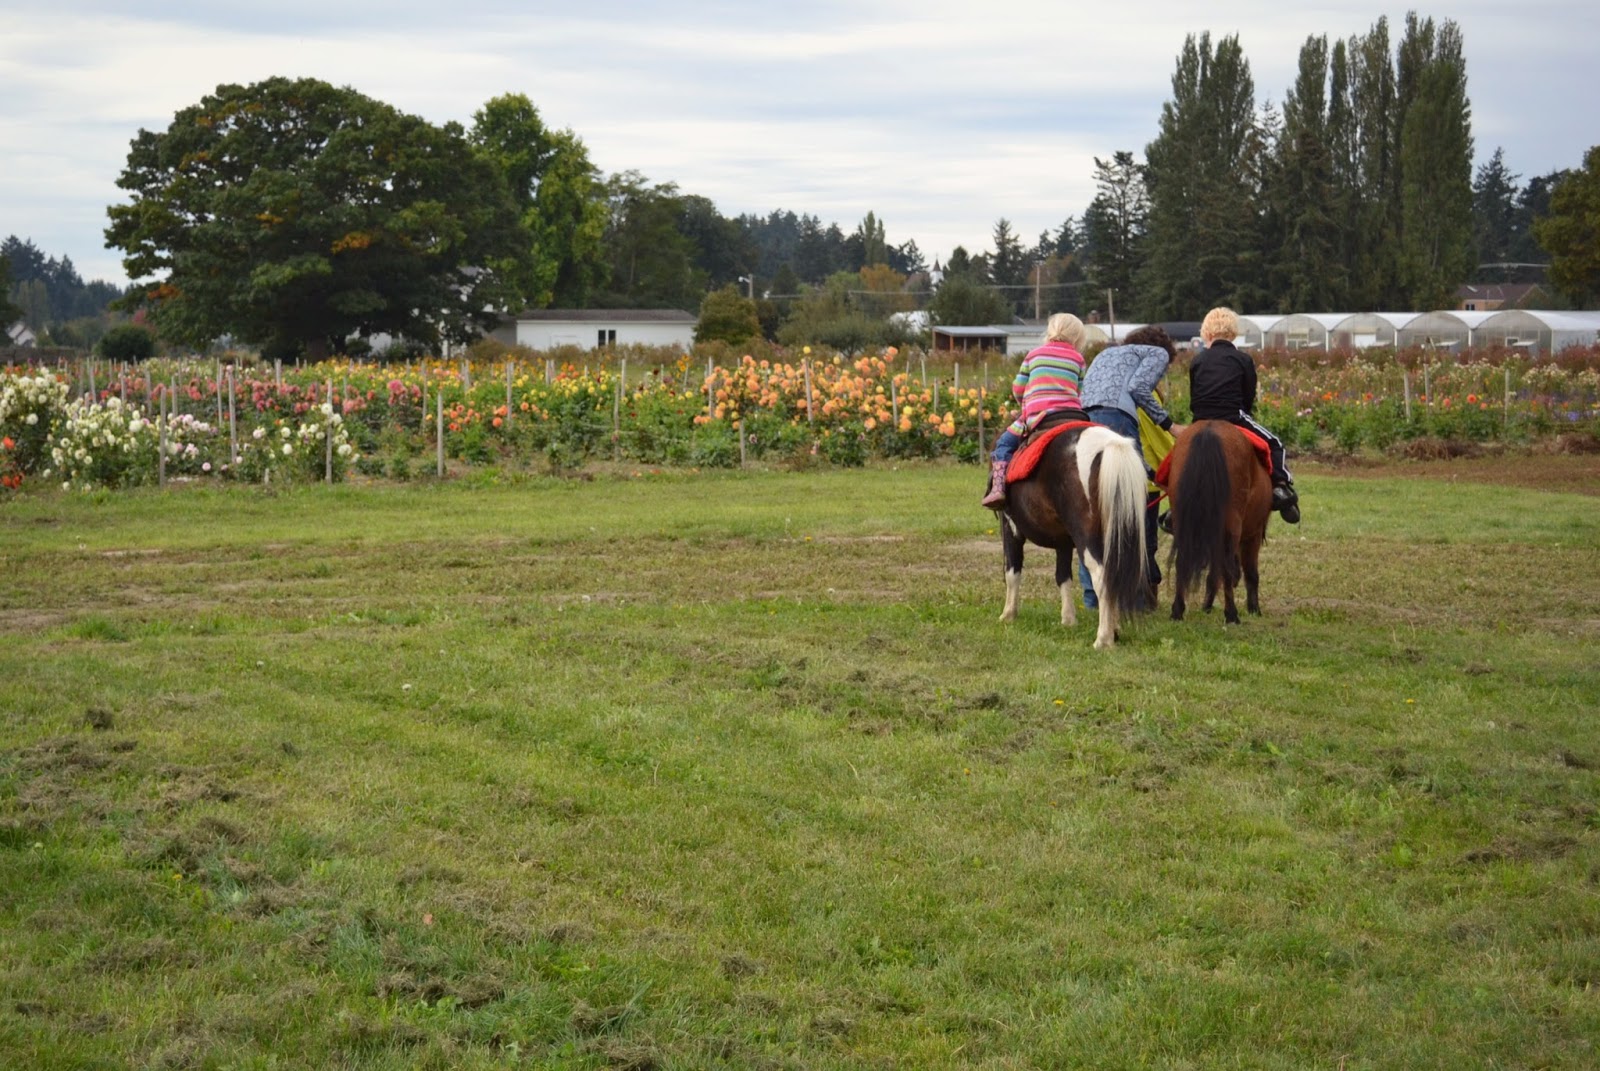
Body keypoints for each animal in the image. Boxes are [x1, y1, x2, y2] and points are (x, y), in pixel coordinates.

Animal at [997, 418, 1150, 649]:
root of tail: (1109, 445)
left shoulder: (1011, 526)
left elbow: (1012, 571)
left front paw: (1008, 614)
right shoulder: (1063, 541)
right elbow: (1063, 576)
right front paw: (1068, 619)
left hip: (1086, 537)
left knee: (1101, 577)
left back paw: (1103, 639)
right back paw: (1113, 630)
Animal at [1164, 420, 1273, 624]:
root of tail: (1209, 431)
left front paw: (1206, 605)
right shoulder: (1253, 534)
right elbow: (1250, 573)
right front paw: (1254, 609)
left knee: (1182, 562)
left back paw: (1177, 611)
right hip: (1232, 526)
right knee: (1226, 567)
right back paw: (1232, 615)